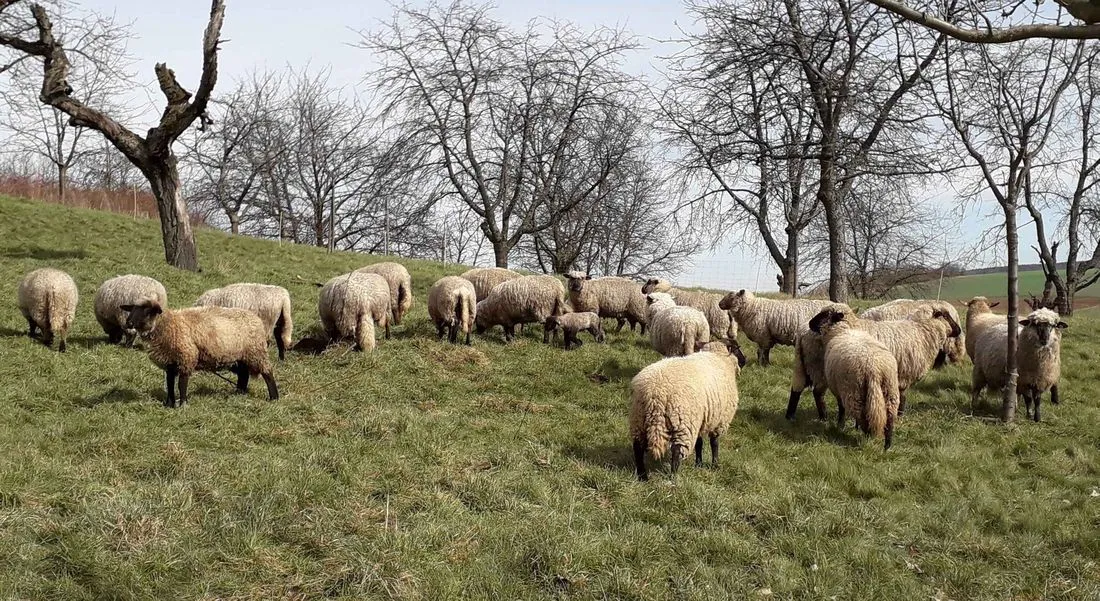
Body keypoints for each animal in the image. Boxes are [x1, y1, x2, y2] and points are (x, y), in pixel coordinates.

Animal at [119, 302, 278, 408]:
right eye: (132, 309)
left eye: (147, 311)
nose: (129, 323)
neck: (168, 325)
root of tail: (256, 319)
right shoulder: (170, 362)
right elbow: (170, 383)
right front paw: (169, 404)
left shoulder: (186, 357)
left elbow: (181, 383)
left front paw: (183, 404)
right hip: (238, 357)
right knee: (244, 375)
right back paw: (239, 393)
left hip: (256, 352)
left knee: (267, 372)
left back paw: (274, 397)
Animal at [629, 339, 746, 481]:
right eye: (738, 348)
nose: (745, 360)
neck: (719, 357)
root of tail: (655, 393)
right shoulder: (720, 420)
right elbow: (714, 443)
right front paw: (715, 464)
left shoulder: (701, 418)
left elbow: (699, 443)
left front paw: (699, 464)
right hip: (683, 422)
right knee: (677, 451)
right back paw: (673, 477)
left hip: (638, 418)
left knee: (638, 448)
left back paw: (643, 476)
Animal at [809, 307, 901, 449]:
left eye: (824, 314)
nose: (809, 323)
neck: (842, 330)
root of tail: (874, 369)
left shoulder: (838, 389)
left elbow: (841, 407)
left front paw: (840, 425)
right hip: (890, 391)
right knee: (889, 420)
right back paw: (887, 446)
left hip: (854, 392)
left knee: (862, 417)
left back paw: (866, 438)